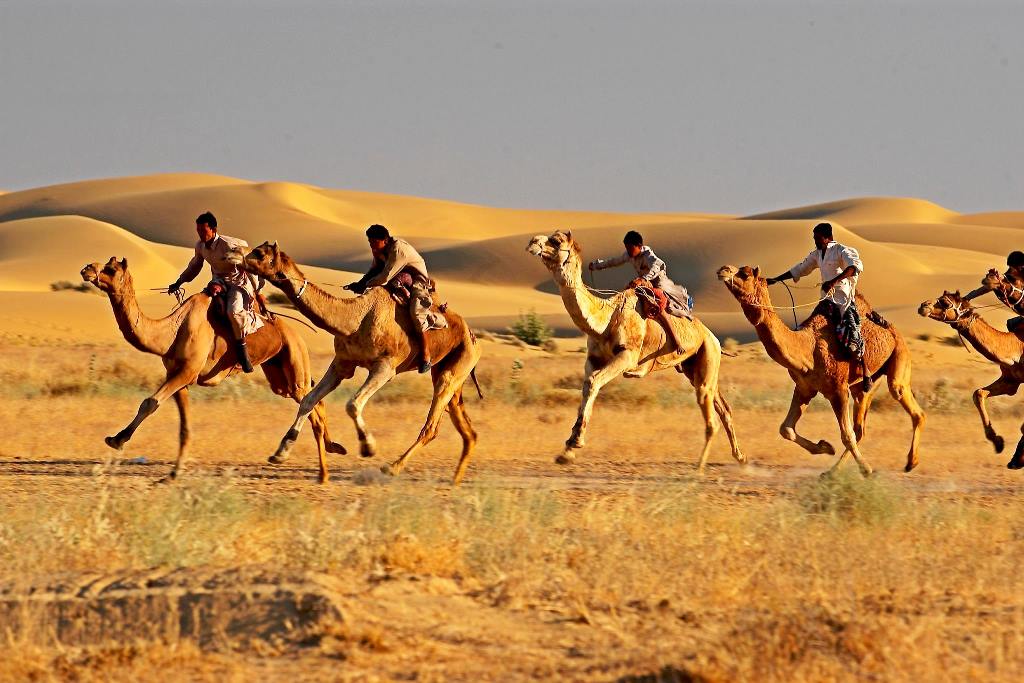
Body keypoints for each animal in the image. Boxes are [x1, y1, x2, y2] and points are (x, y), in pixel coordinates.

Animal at [79, 255, 344, 481]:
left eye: (111, 269)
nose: (87, 269)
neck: (171, 331)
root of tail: (296, 334)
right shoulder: (179, 376)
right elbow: (184, 427)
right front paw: (174, 473)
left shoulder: (187, 371)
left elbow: (149, 402)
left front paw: (117, 439)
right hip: (278, 376)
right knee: (314, 400)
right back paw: (331, 452)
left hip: (295, 359)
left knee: (310, 404)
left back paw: (312, 468)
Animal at [240, 240, 483, 485]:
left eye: (259, 253)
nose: (240, 258)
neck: (356, 319)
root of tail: (473, 336)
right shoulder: (342, 363)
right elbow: (308, 400)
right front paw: (281, 451)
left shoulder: (385, 368)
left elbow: (352, 404)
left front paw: (368, 446)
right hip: (449, 372)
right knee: (466, 429)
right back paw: (455, 479)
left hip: (455, 366)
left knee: (432, 426)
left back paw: (392, 468)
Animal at [528, 228, 745, 471]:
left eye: (556, 241)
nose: (533, 241)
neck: (607, 319)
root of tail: (713, 338)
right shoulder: (593, 358)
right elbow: (587, 385)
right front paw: (567, 451)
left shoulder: (627, 356)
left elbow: (594, 382)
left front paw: (574, 443)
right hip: (694, 367)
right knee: (723, 407)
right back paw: (740, 457)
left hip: (708, 354)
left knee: (710, 411)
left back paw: (700, 466)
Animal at [716, 264, 925, 479]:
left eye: (745, 273)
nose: (723, 269)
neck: (807, 348)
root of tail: (893, 330)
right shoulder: (804, 387)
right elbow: (786, 429)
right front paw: (825, 447)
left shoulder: (838, 389)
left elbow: (846, 435)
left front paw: (867, 470)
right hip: (865, 384)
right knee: (860, 428)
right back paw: (833, 471)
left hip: (899, 357)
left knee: (908, 404)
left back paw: (910, 462)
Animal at [917, 288, 1024, 471]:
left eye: (945, 302)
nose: (923, 306)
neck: (1015, 347)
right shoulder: (1011, 380)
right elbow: (978, 393)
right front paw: (998, 442)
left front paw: (1017, 458)